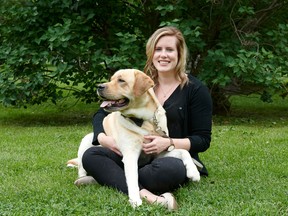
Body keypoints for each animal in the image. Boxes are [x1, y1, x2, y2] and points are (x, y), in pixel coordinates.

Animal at [68, 69, 200, 208]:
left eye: (121, 80)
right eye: (111, 79)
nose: (99, 86)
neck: (145, 120)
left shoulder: (158, 151)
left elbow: (184, 151)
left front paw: (194, 172)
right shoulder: (130, 155)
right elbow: (132, 178)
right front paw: (135, 199)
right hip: (87, 140)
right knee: (83, 164)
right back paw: (82, 178)